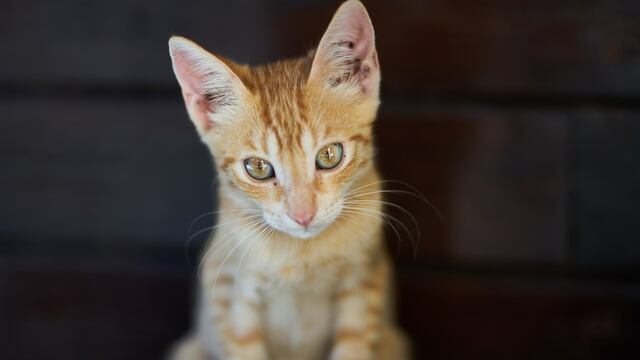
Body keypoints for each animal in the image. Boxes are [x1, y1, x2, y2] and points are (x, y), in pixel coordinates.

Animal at [168, 0, 408, 360]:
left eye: (329, 155)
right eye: (258, 167)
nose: (303, 215)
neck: (301, 256)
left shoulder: (365, 282)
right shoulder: (229, 288)